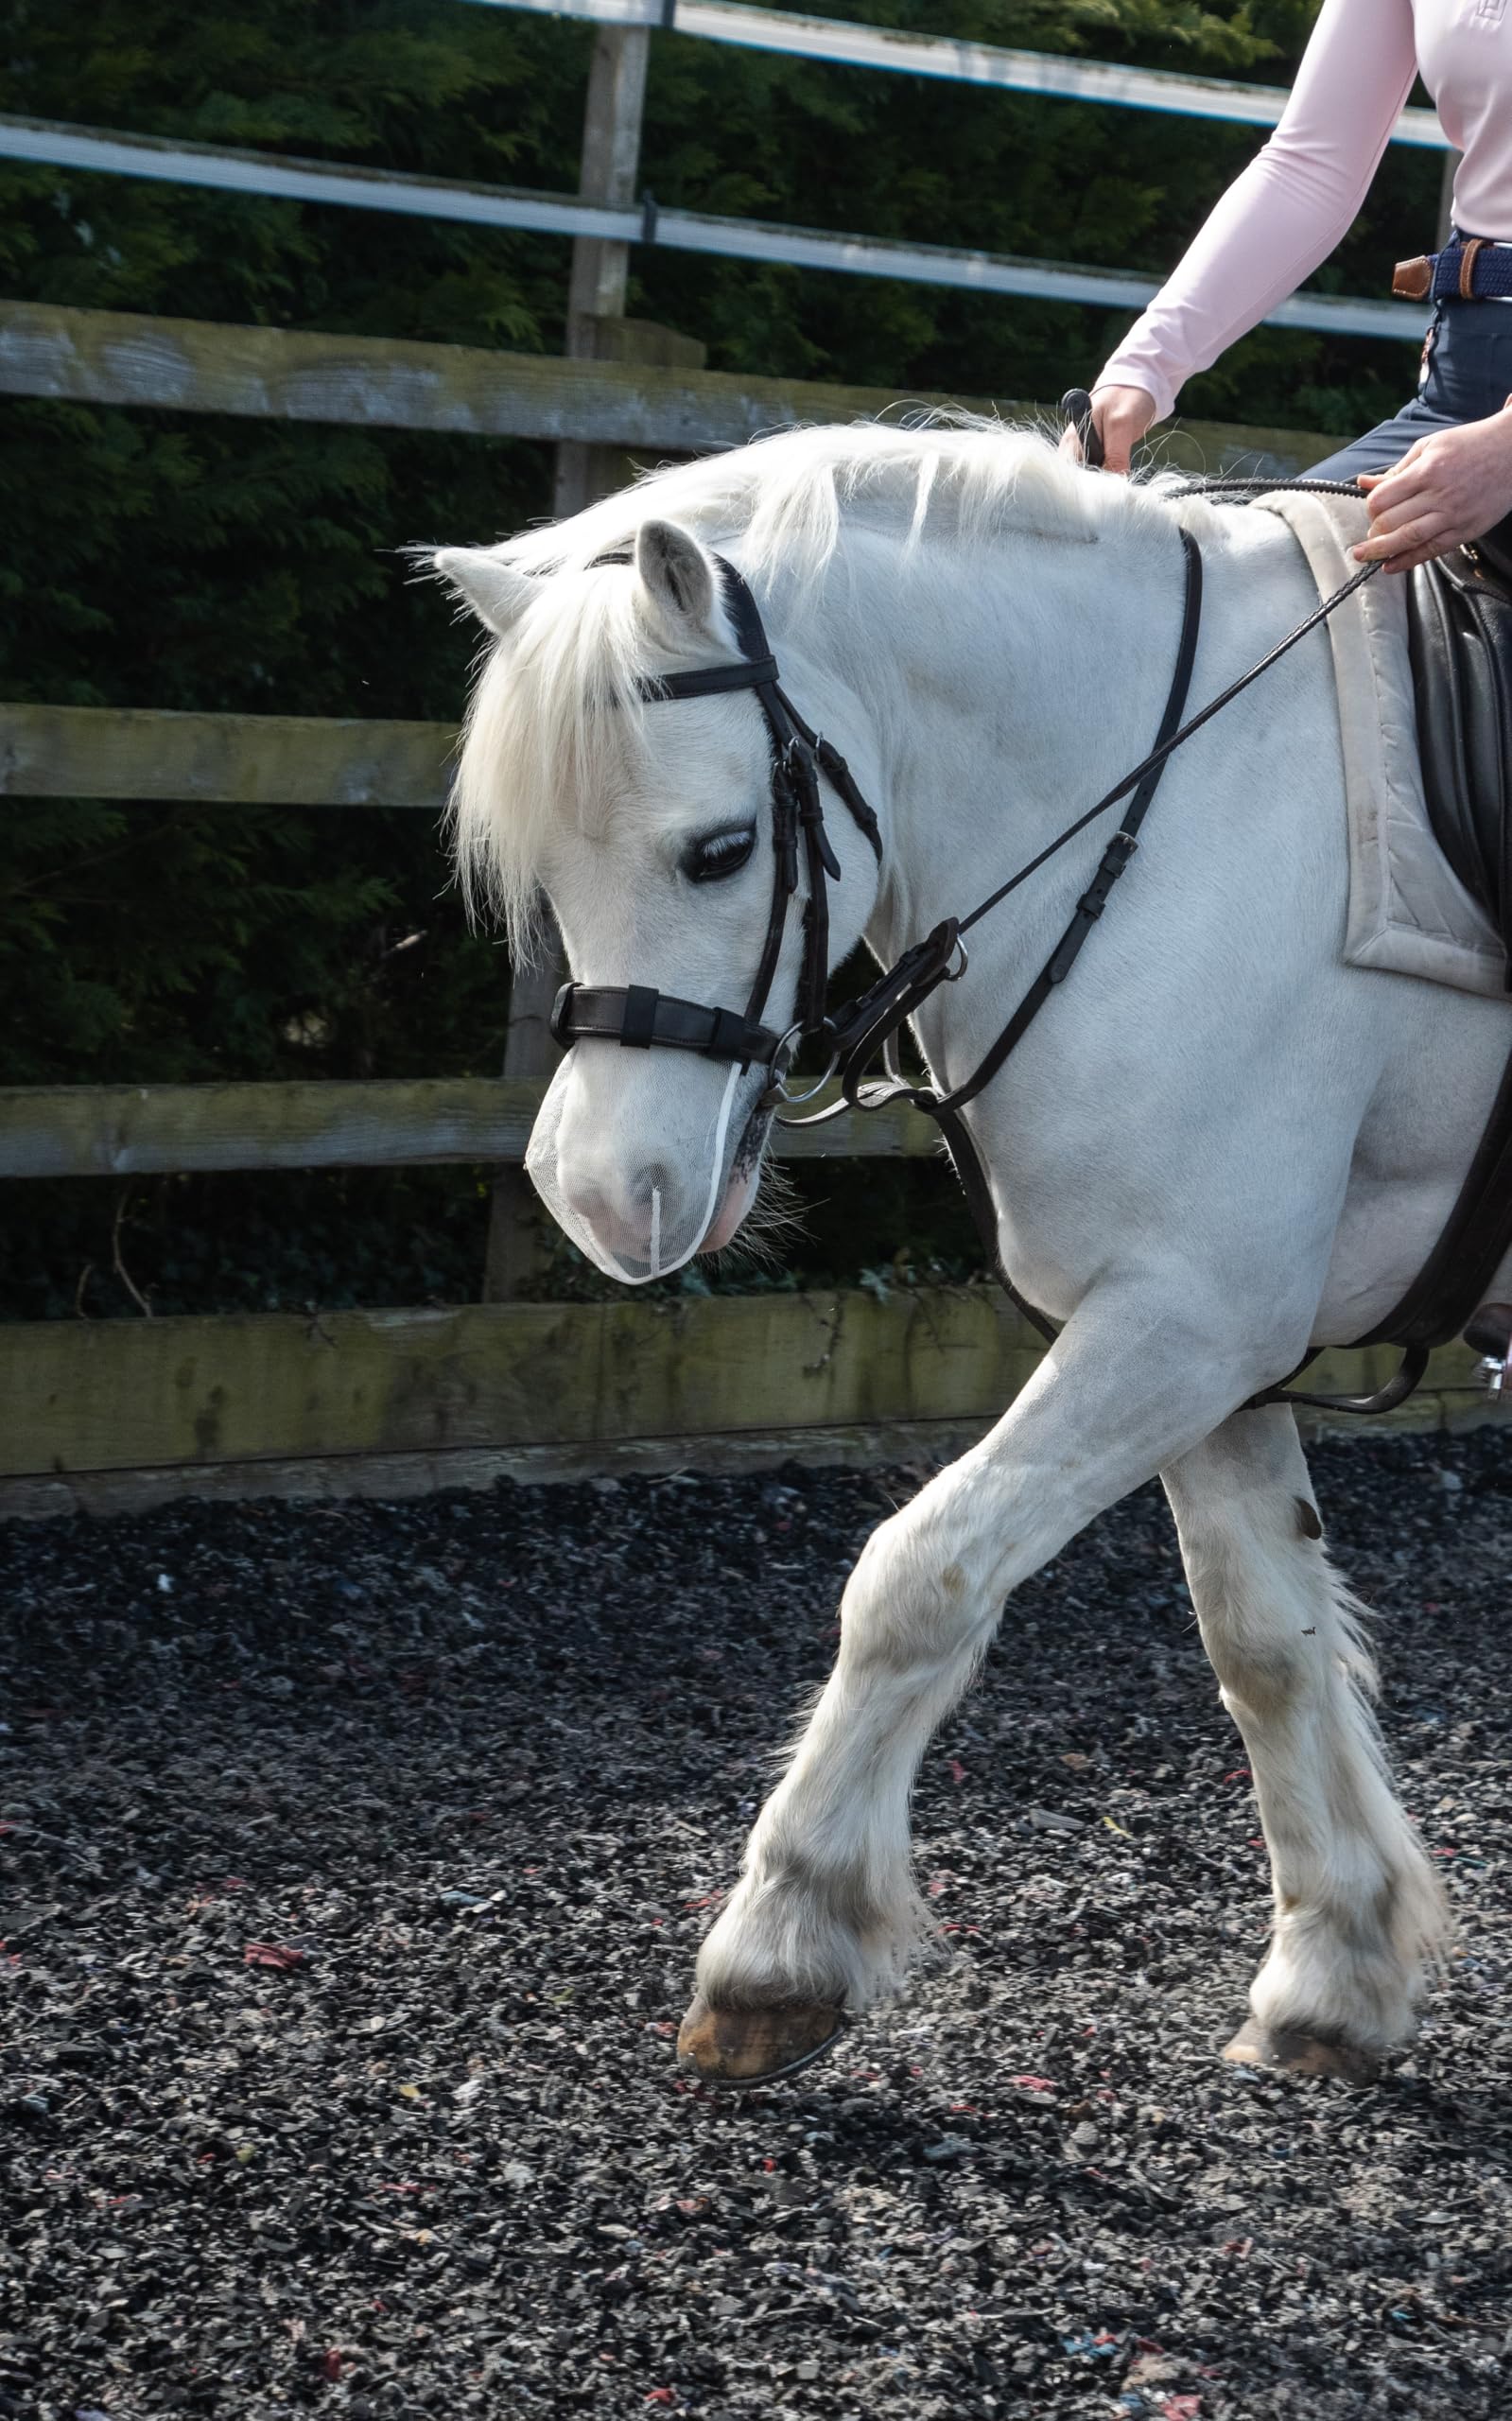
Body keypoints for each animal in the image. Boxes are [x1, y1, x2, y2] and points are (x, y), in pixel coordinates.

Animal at [434, 419, 1486, 2087]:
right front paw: (1332, 1971)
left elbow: (913, 1578)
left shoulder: (1176, 1324)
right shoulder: (1208, 1339)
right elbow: (1263, 1639)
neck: (1156, 812)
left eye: (719, 850)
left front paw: (778, 1946)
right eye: (539, 870)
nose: (605, 1197)